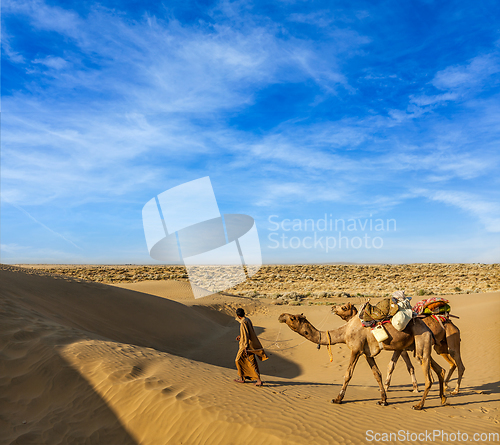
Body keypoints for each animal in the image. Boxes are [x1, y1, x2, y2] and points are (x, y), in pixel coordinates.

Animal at [280, 308, 448, 410]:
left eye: (293, 318)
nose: (281, 316)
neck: (344, 332)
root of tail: (428, 328)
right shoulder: (367, 353)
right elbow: (377, 374)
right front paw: (383, 400)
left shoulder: (355, 349)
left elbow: (348, 374)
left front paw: (338, 399)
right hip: (422, 346)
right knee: (439, 369)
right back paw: (443, 399)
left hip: (421, 343)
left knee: (428, 378)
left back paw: (419, 405)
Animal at [332, 300, 464, 394]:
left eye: (344, 307)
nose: (333, 308)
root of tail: (450, 321)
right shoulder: (401, 348)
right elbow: (406, 367)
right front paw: (414, 387)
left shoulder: (400, 348)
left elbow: (395, 366)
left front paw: (387, 387)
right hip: (440, 347)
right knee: (451, 363)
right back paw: (446, 386)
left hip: (452, 339)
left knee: (459, 363)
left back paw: (455, 390)